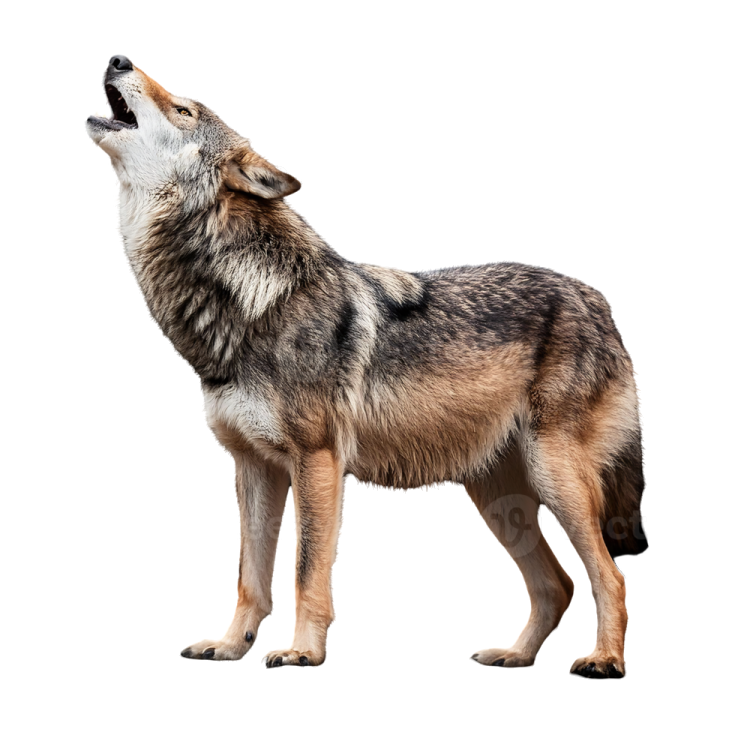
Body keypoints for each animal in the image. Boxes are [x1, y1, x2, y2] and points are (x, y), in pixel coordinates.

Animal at [85, 55, 645, 678]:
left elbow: (306, 573)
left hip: (555, 478)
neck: (247, 300)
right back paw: (514, 656)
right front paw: (230, 646)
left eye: (183, 109)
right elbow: (250, 579)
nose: (117, 59)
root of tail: (596, 297)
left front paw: (302, 652)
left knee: (610, 578)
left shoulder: (317, 461)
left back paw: (603, 659)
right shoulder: (252, 467)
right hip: (498, 497)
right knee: (557, 585)